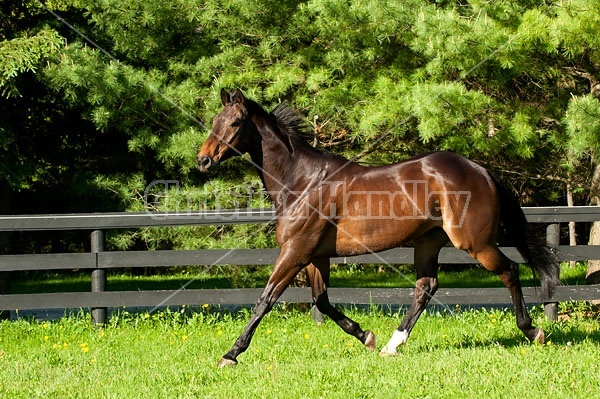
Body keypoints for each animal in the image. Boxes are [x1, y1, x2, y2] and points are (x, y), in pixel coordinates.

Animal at [196, 88, 556, 368]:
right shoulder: (315, 256)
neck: (301, 181)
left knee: (509, 270)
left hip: (474, 243)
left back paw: (533, 330)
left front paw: (231, 354)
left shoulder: (295, 252)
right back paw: (391, 345)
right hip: (428, 242)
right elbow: (321, 302)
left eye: (235, 122)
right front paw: (366, 336)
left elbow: (265, 299)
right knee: (426, 287)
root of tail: (481, 171)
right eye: (214, 122)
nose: (203, 160)